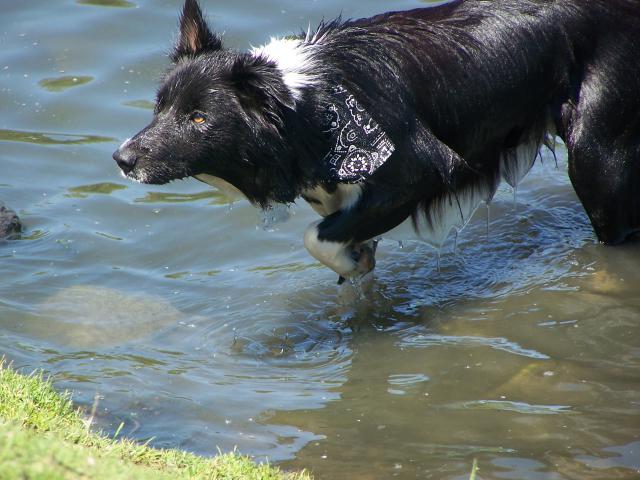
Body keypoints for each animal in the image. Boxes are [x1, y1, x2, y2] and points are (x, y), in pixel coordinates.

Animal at [112, 0, 640, 284]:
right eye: (159, 108)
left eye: (199, 118)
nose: (121, 158)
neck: (309, 106)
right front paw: (358, 264)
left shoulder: (419, 170)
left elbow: (317, 236)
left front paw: (351, 259)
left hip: (596, 159)